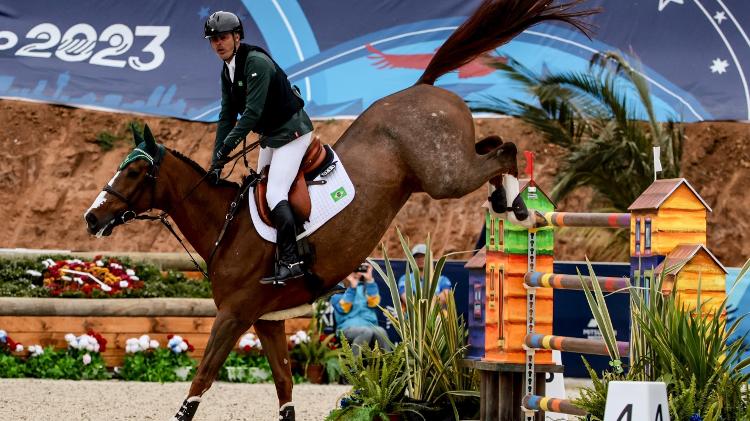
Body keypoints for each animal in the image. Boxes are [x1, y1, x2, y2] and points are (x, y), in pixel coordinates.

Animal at [85, 1, 596, 418]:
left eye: (135, 173)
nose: (92, 218)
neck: (224, 227)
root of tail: (422, 86)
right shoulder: (266, 320)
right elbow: (284, 387)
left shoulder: (234, 315)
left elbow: (201, 381)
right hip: (447, 164)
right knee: (491, 144)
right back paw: (507, 200)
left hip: (443, 174)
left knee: (503, 149)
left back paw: (517, 207)